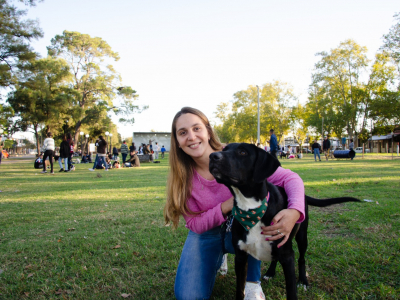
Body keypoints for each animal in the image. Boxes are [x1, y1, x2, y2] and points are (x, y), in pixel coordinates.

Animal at [209, 144, 360, 300]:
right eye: (224, 149)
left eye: (243, 152)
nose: (213, 156)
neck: (251, 209)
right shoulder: (241, 257)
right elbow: (239, 289)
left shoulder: (288, 257)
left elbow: (291, 291)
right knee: (275, 258)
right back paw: (270, 272)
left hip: (302, 236)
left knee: (301, 259)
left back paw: (303, 281)